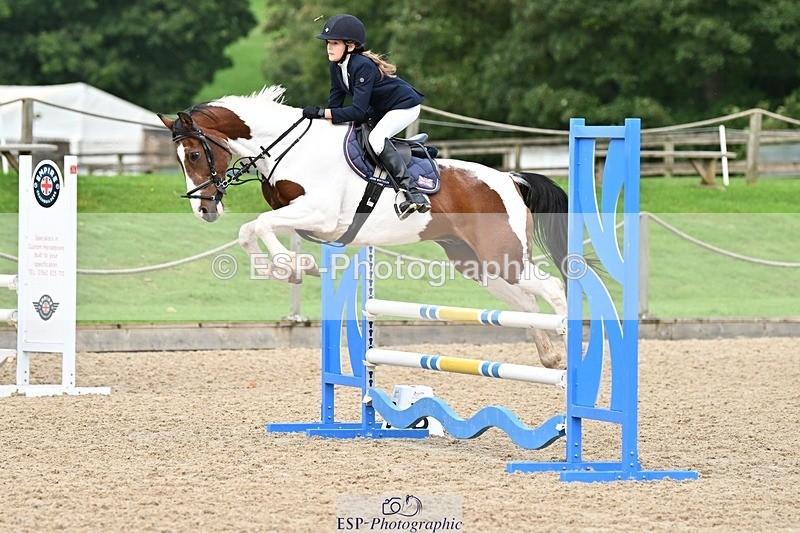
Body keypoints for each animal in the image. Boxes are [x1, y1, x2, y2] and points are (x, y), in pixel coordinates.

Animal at [158, 86, 569, 369]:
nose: (204, 210)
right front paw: (283, 269)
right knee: (526, 302)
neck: (289, 148)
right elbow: (250, 230)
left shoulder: (320, 215)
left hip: (502, 257)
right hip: (478, 264)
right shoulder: (302, 216)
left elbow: (260, 225)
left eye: (193, 154)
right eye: (179, 160)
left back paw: (566, 344)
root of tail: (512, 179)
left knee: (552, 287)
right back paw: (550, 357)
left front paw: (296, 267)